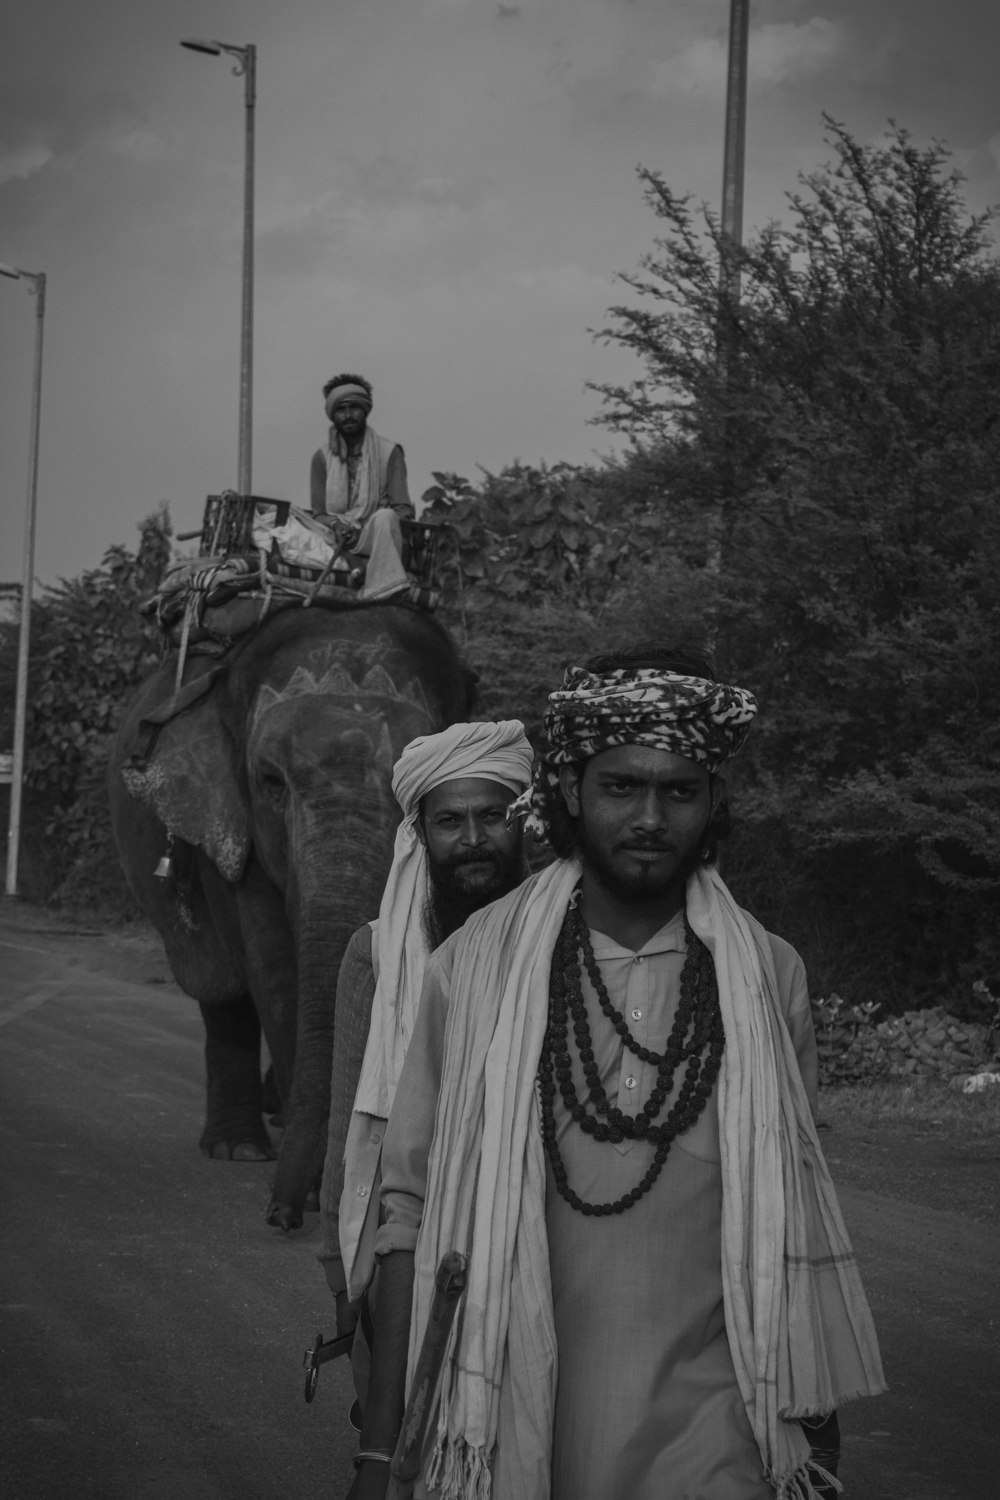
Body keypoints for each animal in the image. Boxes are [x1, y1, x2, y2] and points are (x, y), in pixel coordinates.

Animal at [109, 606, 473, 1230]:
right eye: (271, 782)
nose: (279, 1217)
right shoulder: (229, 820)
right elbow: (272, 965)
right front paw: (309, 1188)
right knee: (224, 994)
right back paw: (239, 1147)